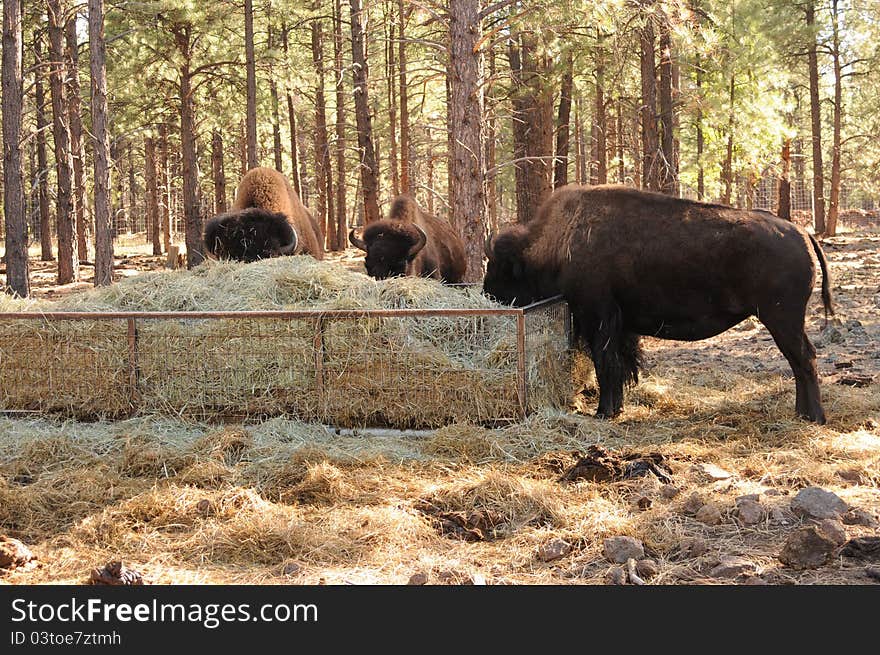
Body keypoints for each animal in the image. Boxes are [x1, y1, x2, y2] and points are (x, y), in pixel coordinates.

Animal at [482, 186, 832, 426]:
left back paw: (813, 416)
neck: (560, 241)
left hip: (781, 318)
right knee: (800, 362)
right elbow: (620, 365)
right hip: (783, 319)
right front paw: (616, 409)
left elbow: (605, 364)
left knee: (804, 359)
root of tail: (801, 233)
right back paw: (802, 414)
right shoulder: (619, 325)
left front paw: (603, 412)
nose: (488, 295)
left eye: (502, 270)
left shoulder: (599, 317)